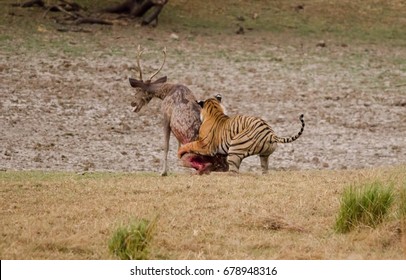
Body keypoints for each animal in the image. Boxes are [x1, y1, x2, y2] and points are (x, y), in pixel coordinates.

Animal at [128, 46, 228, 176]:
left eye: (138, 90)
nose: (132, 103)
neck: (166, 92)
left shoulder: (166, 116)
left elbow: (166, 146)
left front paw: (163, 172)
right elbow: (177, 147)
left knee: (203, 165)